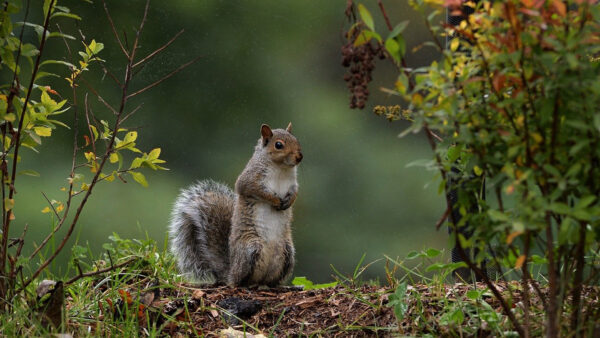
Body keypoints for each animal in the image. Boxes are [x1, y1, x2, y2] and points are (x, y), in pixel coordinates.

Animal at [168, 123, 302, 286]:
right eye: (278, 145)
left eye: (296, 140)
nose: (299, 157)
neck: (281, 169)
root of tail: (230, 272)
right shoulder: (250, 179)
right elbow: (254, 190)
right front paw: (275, 200)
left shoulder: (293, 183)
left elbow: (295, 192)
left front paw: (289, 201)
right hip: (251, 249)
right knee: (240, 280)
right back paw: (248, 283)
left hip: (288, 253)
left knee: (271, 279)